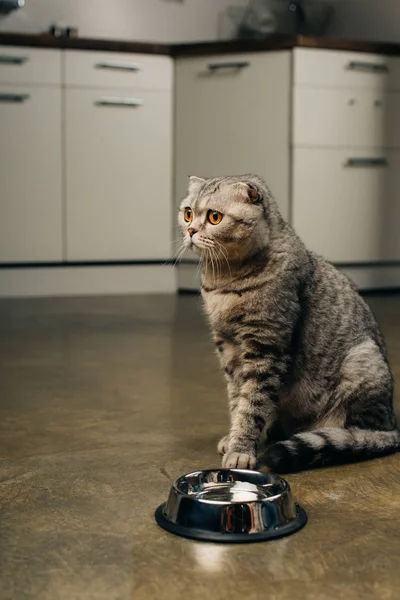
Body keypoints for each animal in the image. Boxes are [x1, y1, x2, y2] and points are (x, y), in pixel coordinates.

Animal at [179, 173, 400, 474]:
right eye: (188, 213)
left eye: (214, 217)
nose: (190, 231)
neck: (223, 280)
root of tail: (393, 424)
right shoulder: (229, 350)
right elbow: (238, 400)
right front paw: (234, 436)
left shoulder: (265, 348)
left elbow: (251, 405)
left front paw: (241, 449)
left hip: (363, 363)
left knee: (364, 431)